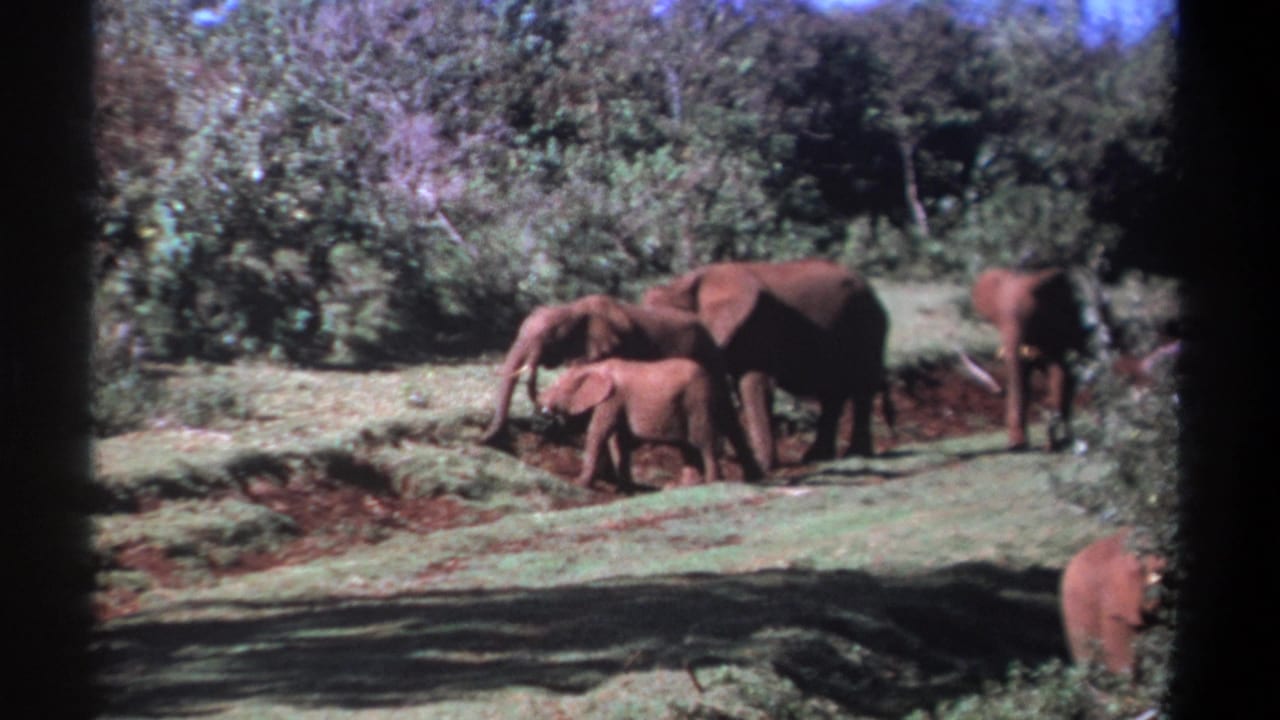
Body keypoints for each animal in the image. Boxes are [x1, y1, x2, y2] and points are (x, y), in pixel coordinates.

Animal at [537, 358, 764, 490]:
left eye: (558, 386)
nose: (543, 407)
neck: (594, 367)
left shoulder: (612, 399)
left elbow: (599, 432)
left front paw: (580, 484)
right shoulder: (617, 401)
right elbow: (618, 440)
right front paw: (627, 488)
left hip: (697, 400)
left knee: (702, 440)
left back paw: (710, 482)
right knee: (687, 446)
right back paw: (682, 486)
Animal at [642, 259, 893, 470]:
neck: (684, 283)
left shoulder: (760, 324)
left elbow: (753, 384)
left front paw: (763, 465)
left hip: (867, 325)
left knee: (861, 387)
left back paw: (856, 454)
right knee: (833, 394)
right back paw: (818, 457)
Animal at [967, 267, 1089, 451]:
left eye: (1031, 317)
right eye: (999, 319)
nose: (999, 391)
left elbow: (1058, 372)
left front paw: (1051, 444)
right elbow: (1022, 378)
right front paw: (1019, 444)